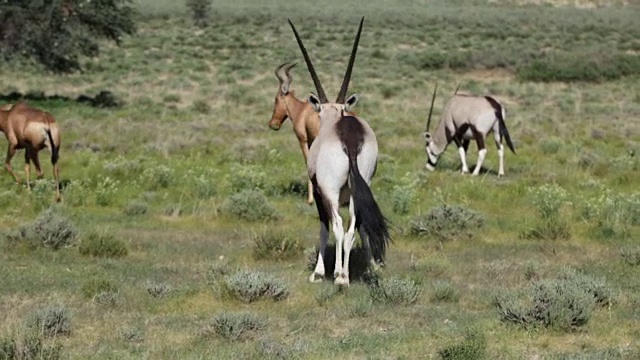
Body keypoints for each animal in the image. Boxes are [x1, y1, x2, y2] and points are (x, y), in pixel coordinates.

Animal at [290, 17, 390, 286]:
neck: (334, 120)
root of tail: (349, 137)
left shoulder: (321, 194)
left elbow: (324, 228)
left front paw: (318, 272)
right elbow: (361, 228)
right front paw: (372, 265)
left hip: (331, 191)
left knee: (337, 225)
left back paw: (339, 276)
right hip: (360, 187)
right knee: (353, 225)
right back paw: (345, 274)